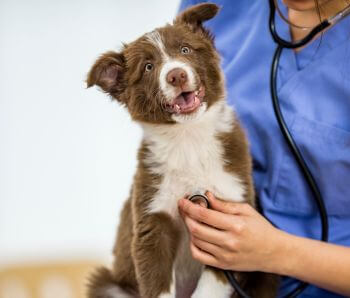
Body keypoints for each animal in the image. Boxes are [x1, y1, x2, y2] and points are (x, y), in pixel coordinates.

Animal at [86, 2, 278, 298]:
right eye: (149, 67)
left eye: (185, 50)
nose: (176, 75)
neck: (188, 139)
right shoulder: (153, 216)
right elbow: (155, 276)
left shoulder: (229, 212)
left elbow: (213, 282)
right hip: (109, 284)